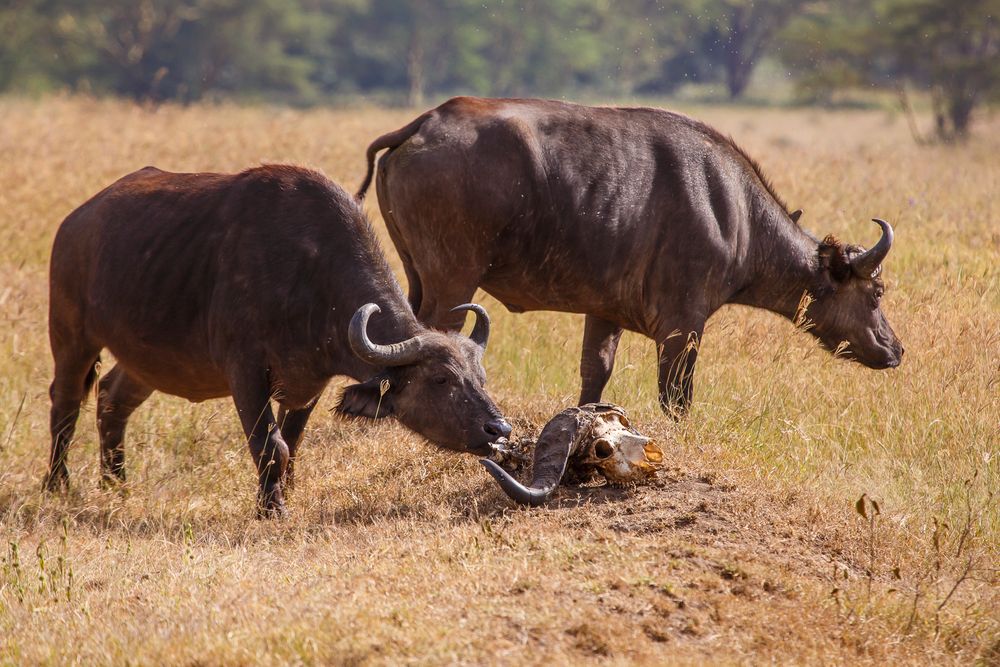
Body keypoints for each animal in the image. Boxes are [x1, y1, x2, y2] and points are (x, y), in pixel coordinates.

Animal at [46, 163, 508, 516]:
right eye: (441, 380)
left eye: (480, 378)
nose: (498, 429)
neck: (311, 276)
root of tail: (75, 222)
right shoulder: (246, 373)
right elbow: (272, 445)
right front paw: (272, 509)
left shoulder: (308, 384)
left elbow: (293, 442)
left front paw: (286, 494)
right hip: (71, 336)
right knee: (65, 404)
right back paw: (56, 486)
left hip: (146, 362)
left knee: (111, 399)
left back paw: (116, 484)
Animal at [356, 96, 904, 414]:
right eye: (876, 291)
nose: (895, 349)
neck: (735, 214)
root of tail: (424, 123)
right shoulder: (684, 329)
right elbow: (676, 398)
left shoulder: (603, 314)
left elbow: (594, 376)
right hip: (452, 280)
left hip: (417, 275)